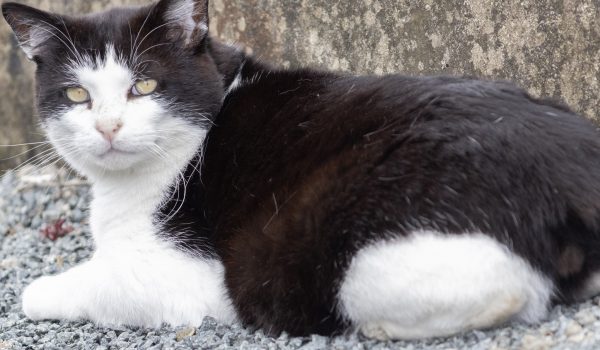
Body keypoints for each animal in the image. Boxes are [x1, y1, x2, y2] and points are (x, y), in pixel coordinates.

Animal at [3, 0, 600, 342]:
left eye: (144, 85)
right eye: (77, 95)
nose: (107, 127)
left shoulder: (189, 276)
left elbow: (87, 282)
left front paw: (39, 290)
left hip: (335, 248)